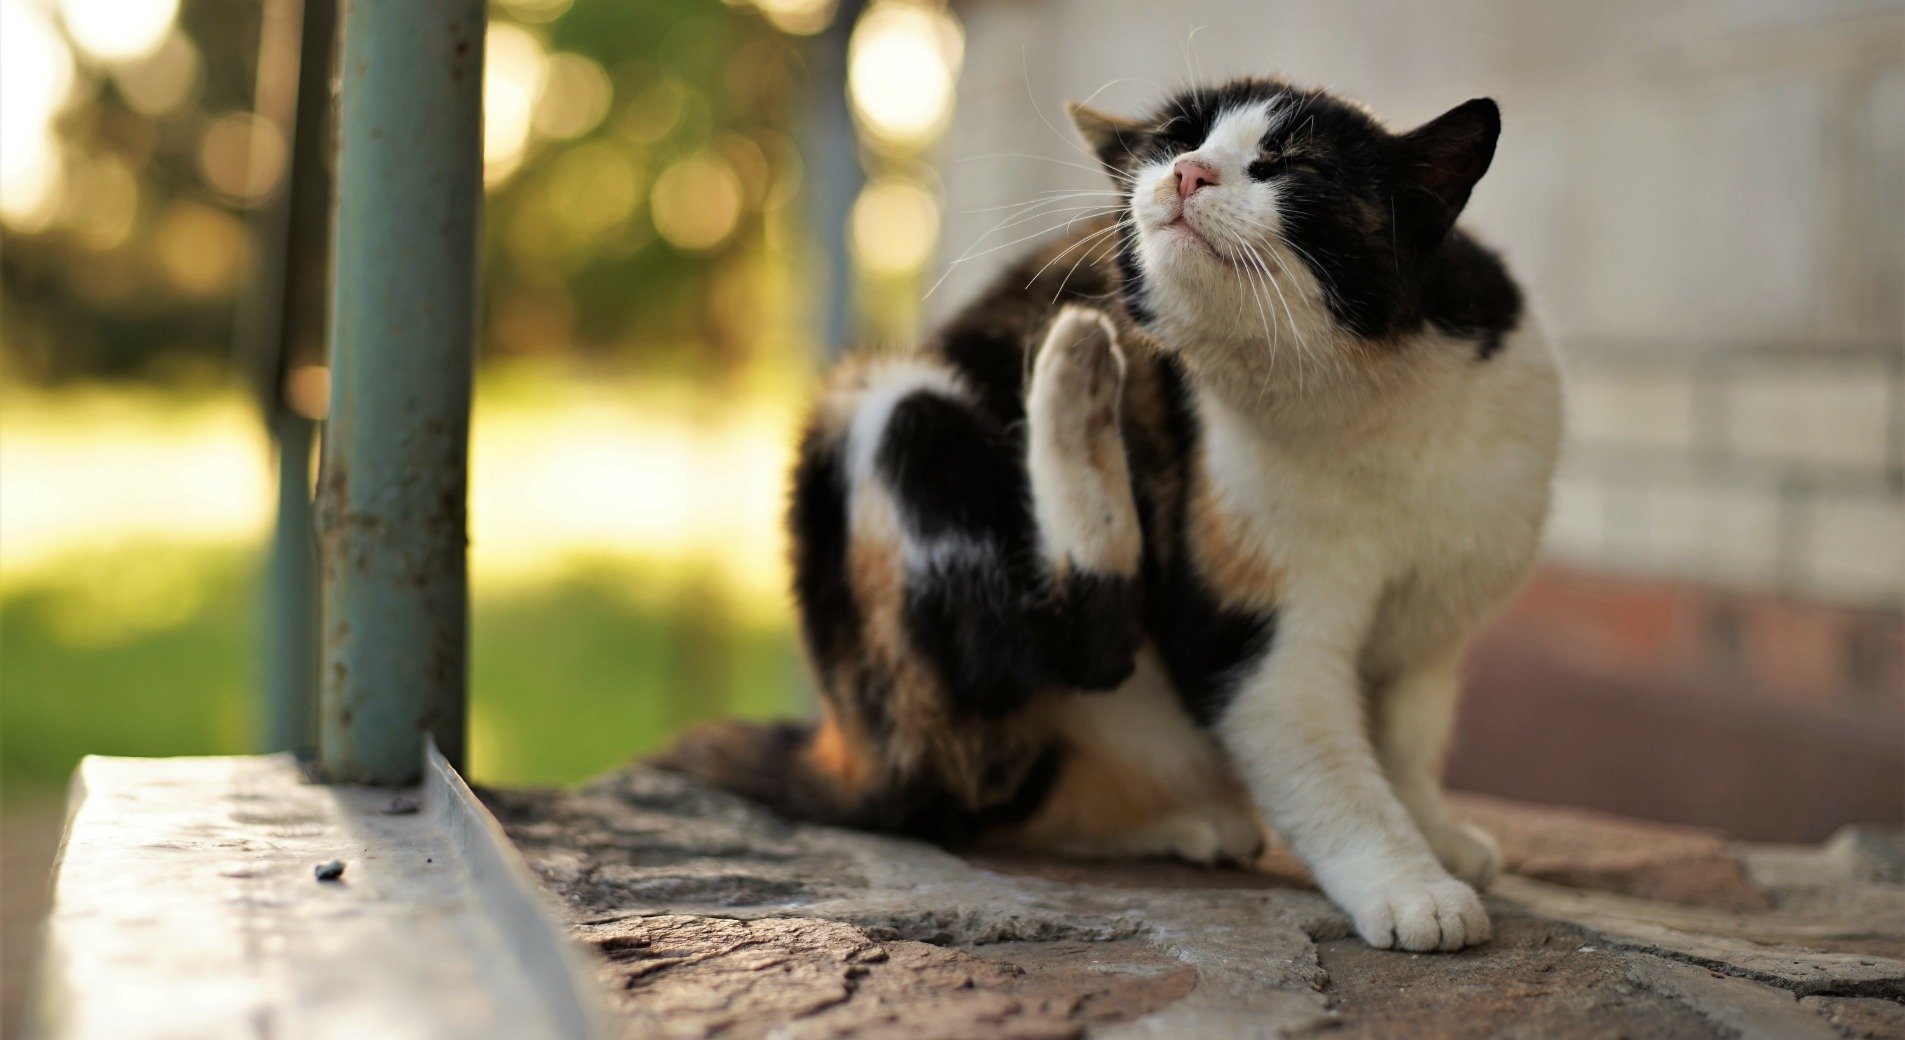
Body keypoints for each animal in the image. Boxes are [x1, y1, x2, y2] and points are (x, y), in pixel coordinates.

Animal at [659, 72, 1562, 948]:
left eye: (1293, 164)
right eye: (1174, 140)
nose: (1188, 173)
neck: (1361, 398)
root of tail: (847, 751)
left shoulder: (1432, 630)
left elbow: (1407, 741)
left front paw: (1435, 832)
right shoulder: (1243, 629)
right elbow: (1330, 773)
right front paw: (1411, 889)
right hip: (890, 410)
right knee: (1037, 679)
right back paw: (1075, 372)